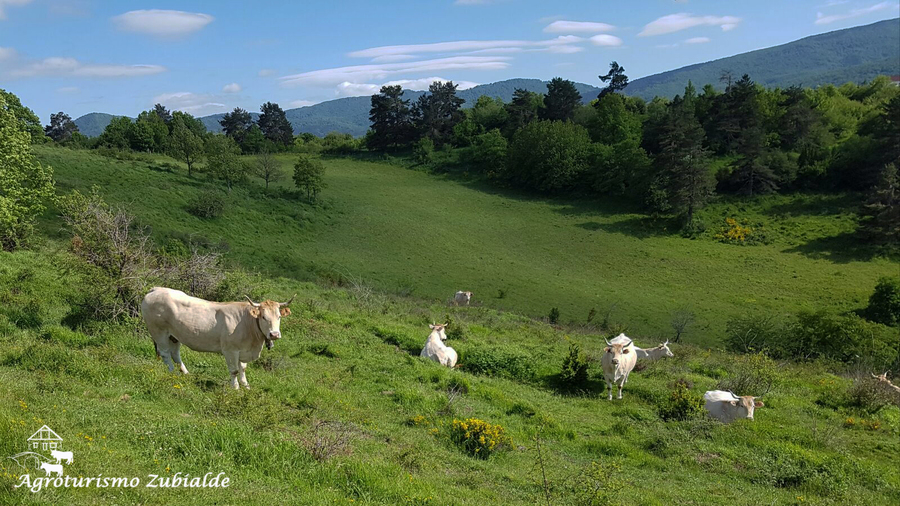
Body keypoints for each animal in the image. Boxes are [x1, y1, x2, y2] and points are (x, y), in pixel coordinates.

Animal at [141, 286, 296, 390]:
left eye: (279, 316)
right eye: (263, 317)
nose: (274, 334)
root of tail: (156, 289)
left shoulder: (242, 350)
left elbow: (243, 368)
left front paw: (246, 386)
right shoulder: (230, 350)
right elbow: (234, 370)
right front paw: (236, 388)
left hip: (174, 335)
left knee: (175, 353)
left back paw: (185, 373)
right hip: (159, 332)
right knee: (165, 354)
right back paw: (172, 373)